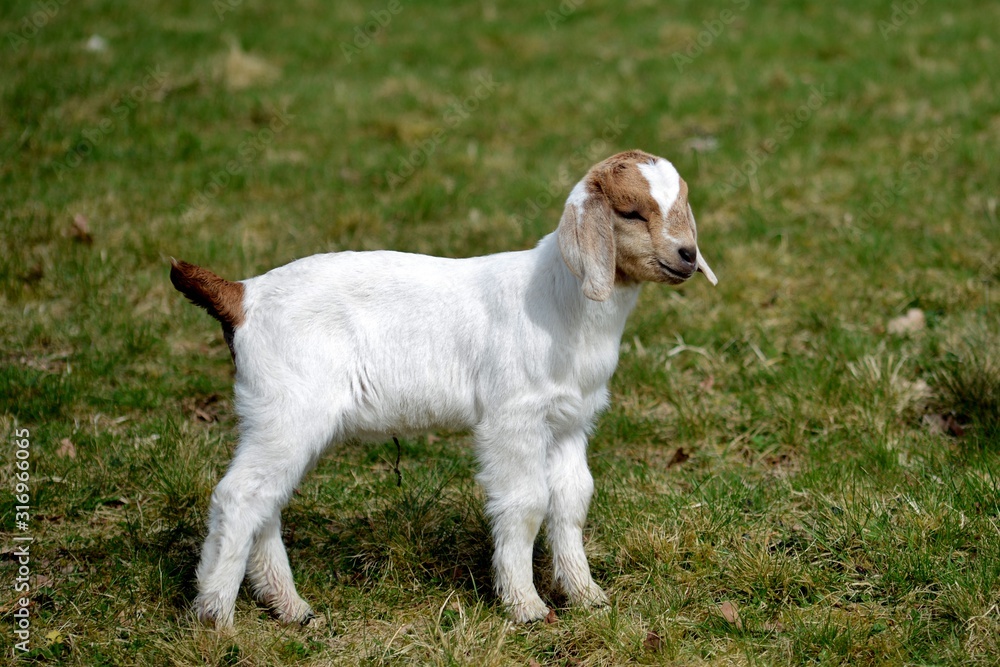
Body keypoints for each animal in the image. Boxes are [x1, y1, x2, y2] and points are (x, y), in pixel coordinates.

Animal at [174, 149, 720, 628]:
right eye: (629, 212)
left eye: (681, 205)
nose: (687, 255)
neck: (561, 298)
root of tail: (244, 294)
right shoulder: (513, 417)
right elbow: (526, 503)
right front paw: (526, 607)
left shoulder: (570, 420)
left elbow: (571, 501)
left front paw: (586, 596)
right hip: (288, 407)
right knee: (239, 497)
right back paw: (216, 615)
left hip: (279, 417)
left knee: (265, 500)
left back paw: (289, 608)